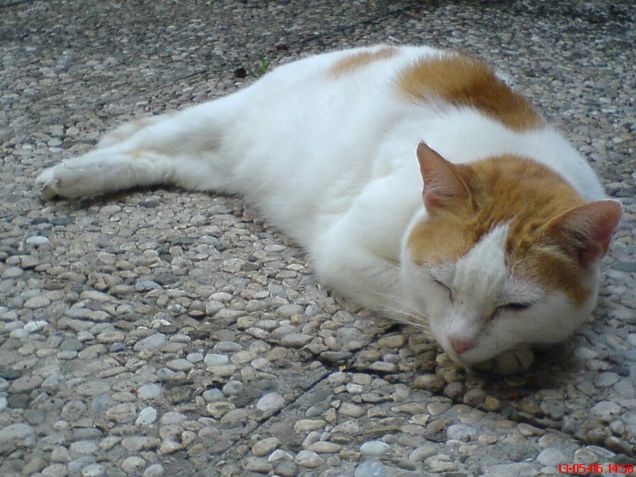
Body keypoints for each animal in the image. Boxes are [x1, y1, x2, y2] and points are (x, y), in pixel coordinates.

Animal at [36, 44, 620, 374]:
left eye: (515, 306)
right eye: (444, 284)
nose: (461, 341)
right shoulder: (345, 249)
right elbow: (405, 292)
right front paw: (502, 357)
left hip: (217, 167)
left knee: (158, 160)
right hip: (220, 117)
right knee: (148, 137)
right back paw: (71, 172)